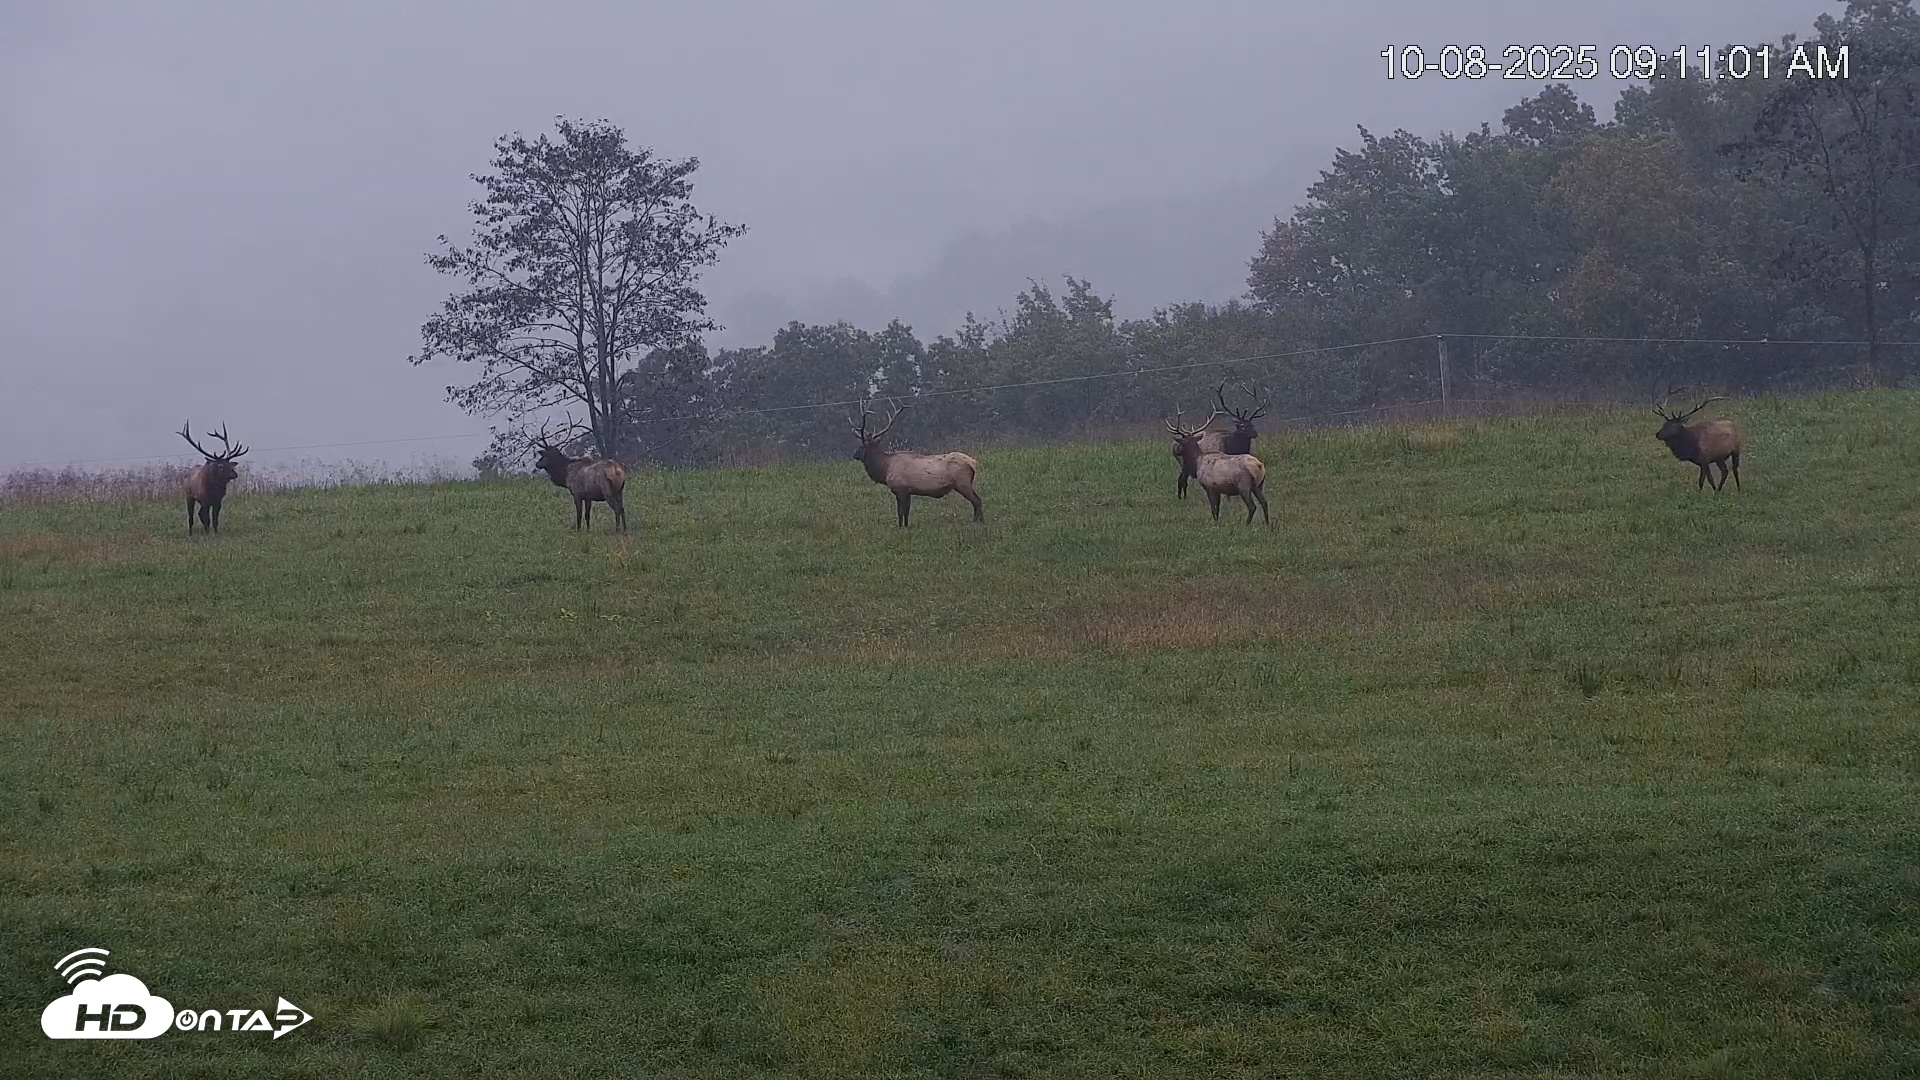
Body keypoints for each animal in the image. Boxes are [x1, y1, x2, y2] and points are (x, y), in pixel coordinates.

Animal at [849, 400, 984, 527]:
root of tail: (973, 463)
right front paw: (906, 526)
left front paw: (900, 527)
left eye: (861, 446)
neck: (885, 469)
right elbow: (907, 512)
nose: (854, 454)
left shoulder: (900, 489)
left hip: (963, 482)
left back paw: (977, 521)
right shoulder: (908, 491)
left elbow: (900, 512)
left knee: (977, 500)